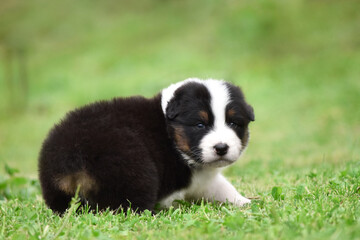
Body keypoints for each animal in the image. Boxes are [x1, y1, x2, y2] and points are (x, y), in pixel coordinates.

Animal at [38, 78, 253, 213]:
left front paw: (245, 202)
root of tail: (73, 157)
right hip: (134, 169)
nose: (221, 148)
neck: (169, 132)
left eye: (234, 123)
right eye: (200, 125)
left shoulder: (203, 180)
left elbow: (222, 188)